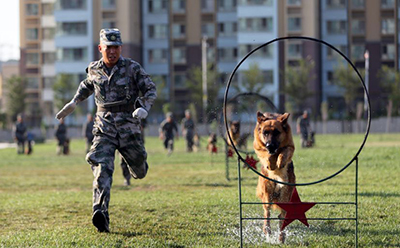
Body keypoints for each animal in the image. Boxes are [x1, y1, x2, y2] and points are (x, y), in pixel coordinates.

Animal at [255, 112, 296, 242]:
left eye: (277, 132)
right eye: (265, 133)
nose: (270, 145)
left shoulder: (289, 147)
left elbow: (284, 152)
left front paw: (280, 161)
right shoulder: (260, 147)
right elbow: (267, 155)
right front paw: (271, 162)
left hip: (285, 196)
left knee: (281, 216)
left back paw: (281, 236)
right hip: (268, 194)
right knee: (267, 213)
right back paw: (267, 230)